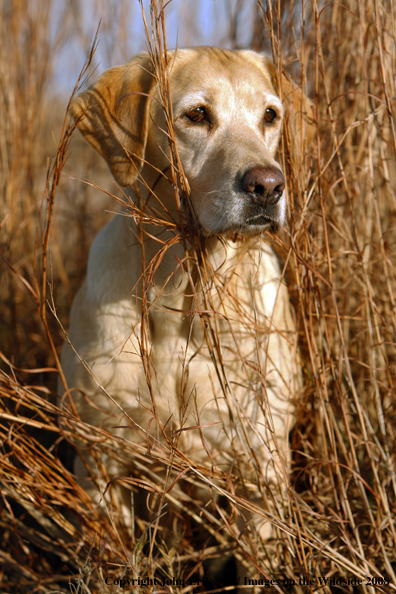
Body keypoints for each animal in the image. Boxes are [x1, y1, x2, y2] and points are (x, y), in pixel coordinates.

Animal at [62, 47, 310, 584]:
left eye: (270, 115)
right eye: (197, 115)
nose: (268, 186)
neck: (182, 296)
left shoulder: (262, 468)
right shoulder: (100, 458)